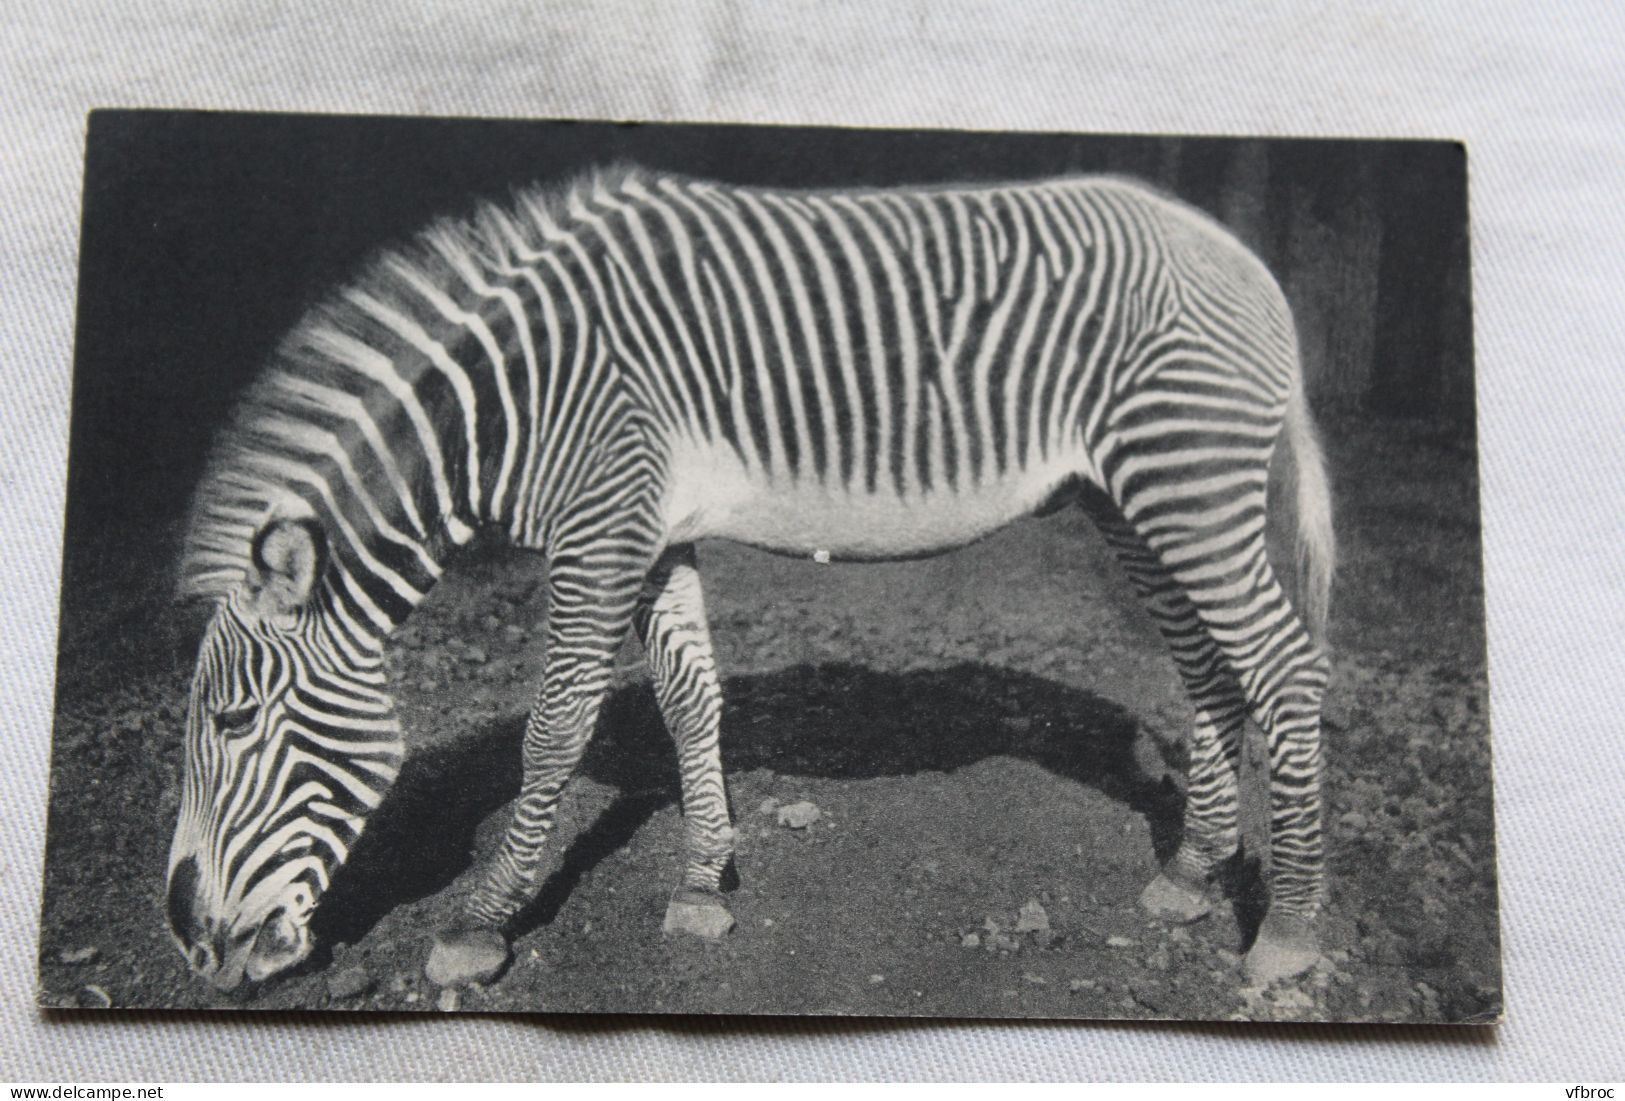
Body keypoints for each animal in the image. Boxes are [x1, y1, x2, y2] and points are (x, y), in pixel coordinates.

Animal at [164, 166, 1332, 1000]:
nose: (194, 952)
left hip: (1184, 480)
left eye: (230, 722)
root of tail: (1243, 258)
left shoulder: (599, 528)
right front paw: (700, 886)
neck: (512, 402)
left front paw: (476, 924)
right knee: (1210, 669)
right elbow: (690, 699)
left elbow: (555, 726)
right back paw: (1191, 873)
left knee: (1284, 671)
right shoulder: (648, 534)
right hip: (1128, 497)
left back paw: (1286, 933)